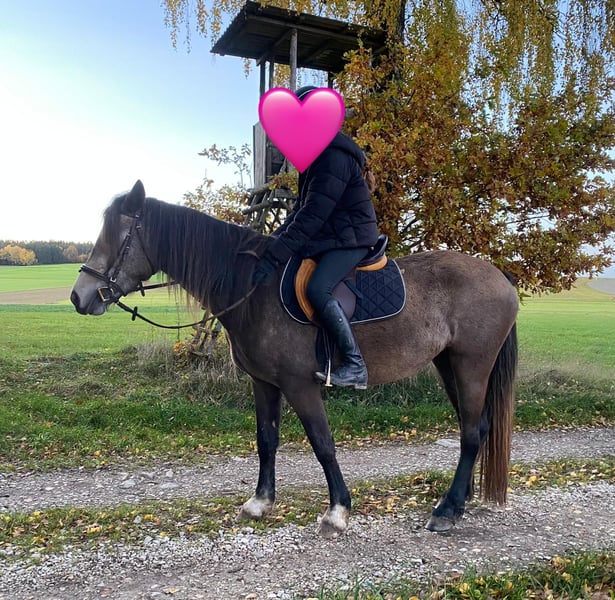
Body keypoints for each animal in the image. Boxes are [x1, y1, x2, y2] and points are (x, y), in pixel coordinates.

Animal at [71, 180, 518, 537]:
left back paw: (448, 510)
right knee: (473, 427)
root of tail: (500, 277)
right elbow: (266, 440)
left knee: (472, 432)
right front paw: (259, 503)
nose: (79, 297)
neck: (253, 289)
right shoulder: (264, 383)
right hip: (449, 364)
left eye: (117, 236)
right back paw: (458, 500)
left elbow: (322, 443)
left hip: (472, 365)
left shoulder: (299, 385)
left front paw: (337, 512)